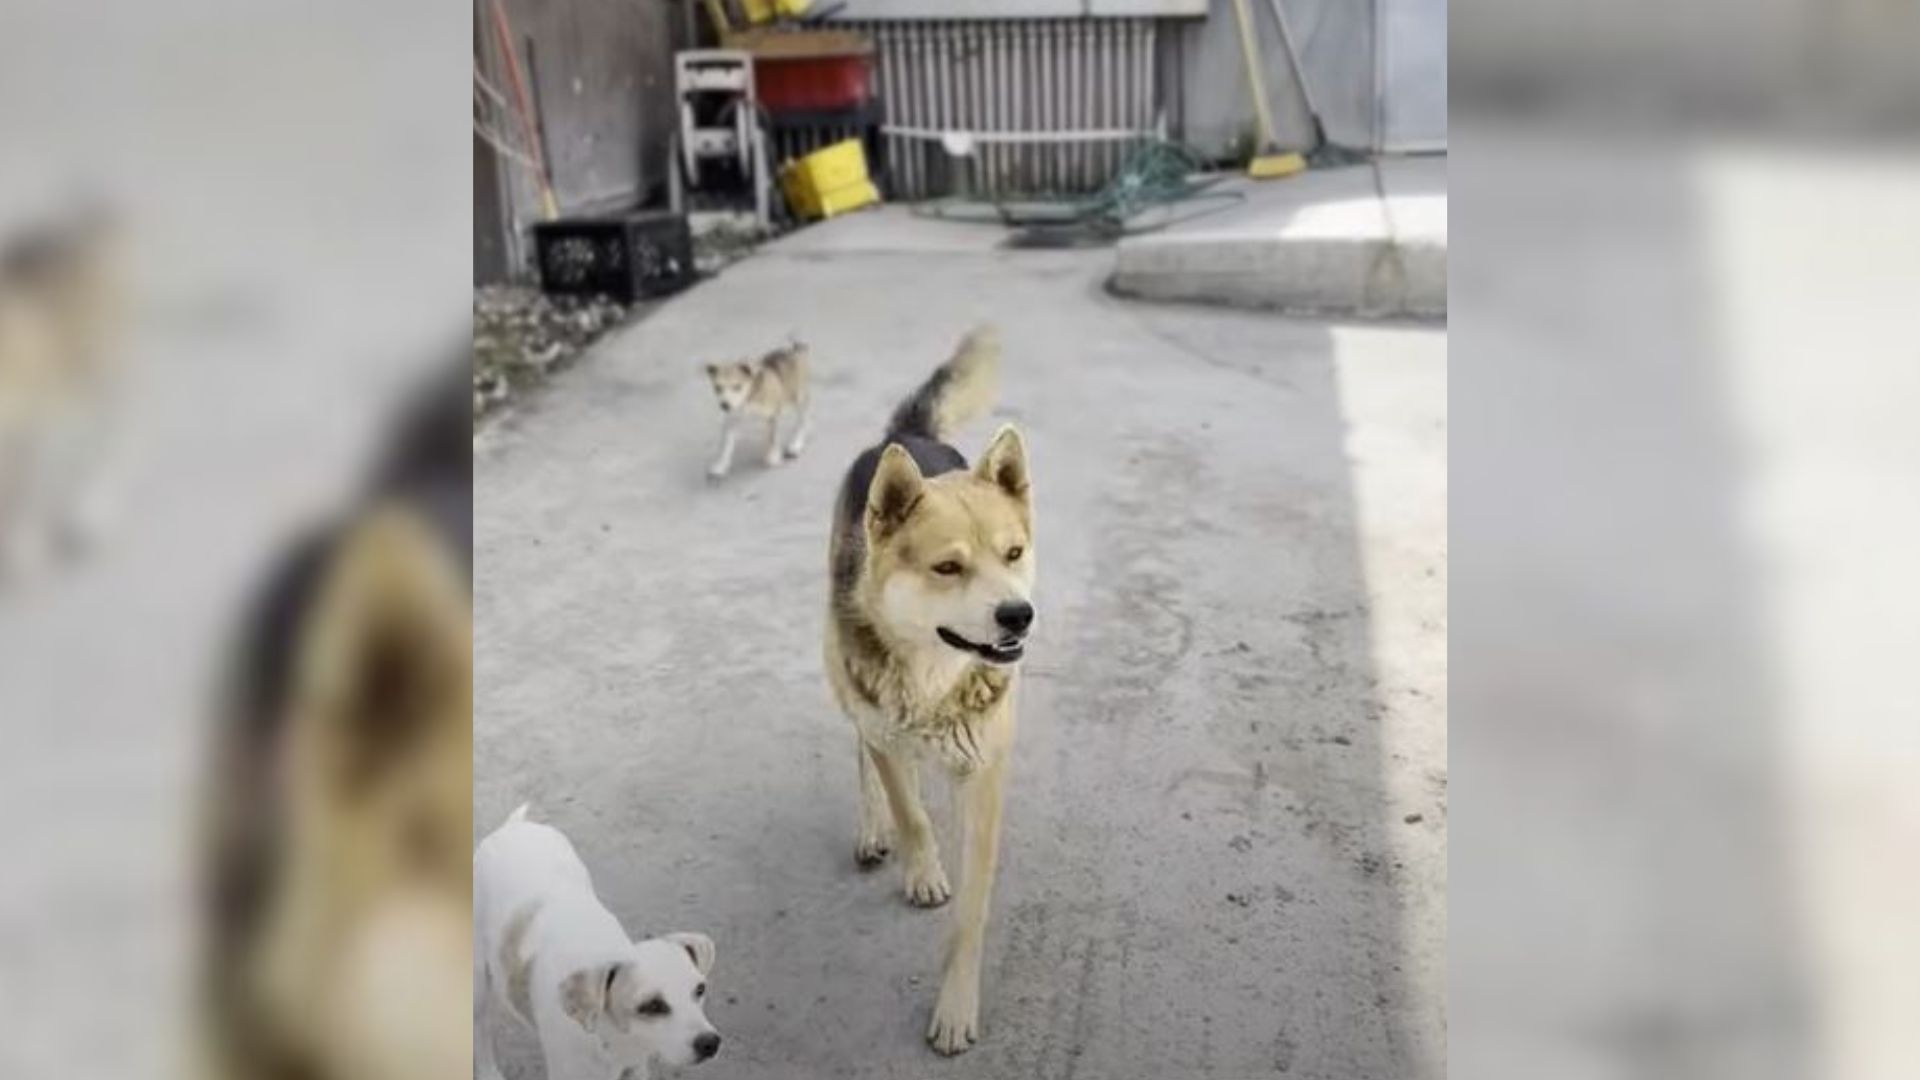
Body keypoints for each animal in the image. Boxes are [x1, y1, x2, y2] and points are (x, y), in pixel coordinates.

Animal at [476, 799, 721, 1076]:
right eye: (652, 1006)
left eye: (700, 989)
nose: (710, 1042)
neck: (611, 1036)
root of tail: (513, 827)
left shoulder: (636, 1068)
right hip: (479, 985)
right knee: (480, 1028)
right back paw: (487, 1071)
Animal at [702, 338, 806, 476]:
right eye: (717, 388)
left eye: (737, 386)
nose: (724, 405)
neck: (748, 398)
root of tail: (792, 349)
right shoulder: (731, 419)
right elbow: (726, 445)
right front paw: (721, 465)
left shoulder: (771, 415)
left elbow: (772, 437)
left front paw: (772, 456)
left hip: (798, 396)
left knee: (803, 421)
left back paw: (795, 445)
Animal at [821, 320, 1036, 1053]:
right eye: (948, 568)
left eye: (1013, 554)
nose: (1019, 615)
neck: (937, 676)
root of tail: (907, 433)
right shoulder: (887, 728)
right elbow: (910, 809)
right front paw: (921, 868)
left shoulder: (987, 775)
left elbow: (972, 910)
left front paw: (956, 1007)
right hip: (840, 668)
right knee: (861, 746)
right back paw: (872, 825)